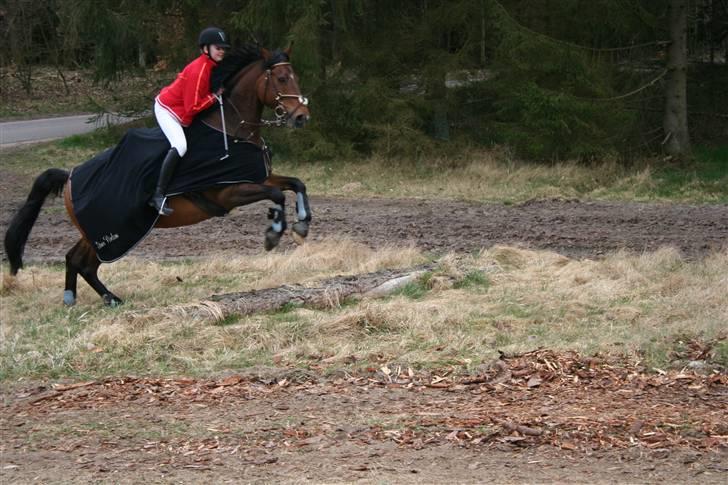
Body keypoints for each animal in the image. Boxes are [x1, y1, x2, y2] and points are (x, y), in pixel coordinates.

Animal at [3, 45, 310, 306]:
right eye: (282, 78)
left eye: (295, 76)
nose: (302, 117)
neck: (233, 131)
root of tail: (69, 177)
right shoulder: (229, 191)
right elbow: (277, 194)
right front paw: (274, 233)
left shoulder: (258, 178)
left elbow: (296, 184)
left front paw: (302, 225)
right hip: (111, 230)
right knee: (83, 261)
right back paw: (100, 298)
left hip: (99, 231)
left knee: (78, 260)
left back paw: (88, 298)